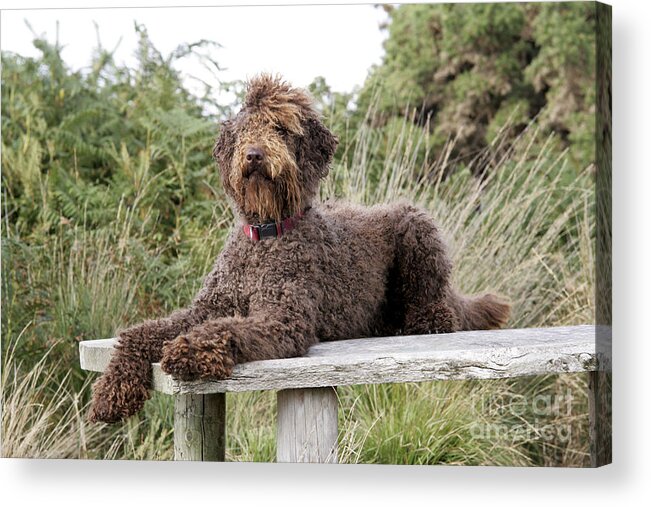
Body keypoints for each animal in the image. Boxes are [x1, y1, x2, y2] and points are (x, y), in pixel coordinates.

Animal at [89, 74, 512, 424]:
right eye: (245, 129)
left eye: (280, 129)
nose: (254, 154)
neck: (265, 236)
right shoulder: (204, 309)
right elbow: (141, 332)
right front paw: (112, 389)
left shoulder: (282, 319)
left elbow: (226, 328)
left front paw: (187, 348)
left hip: (416, 225)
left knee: (439, 311)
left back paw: (419, 320)